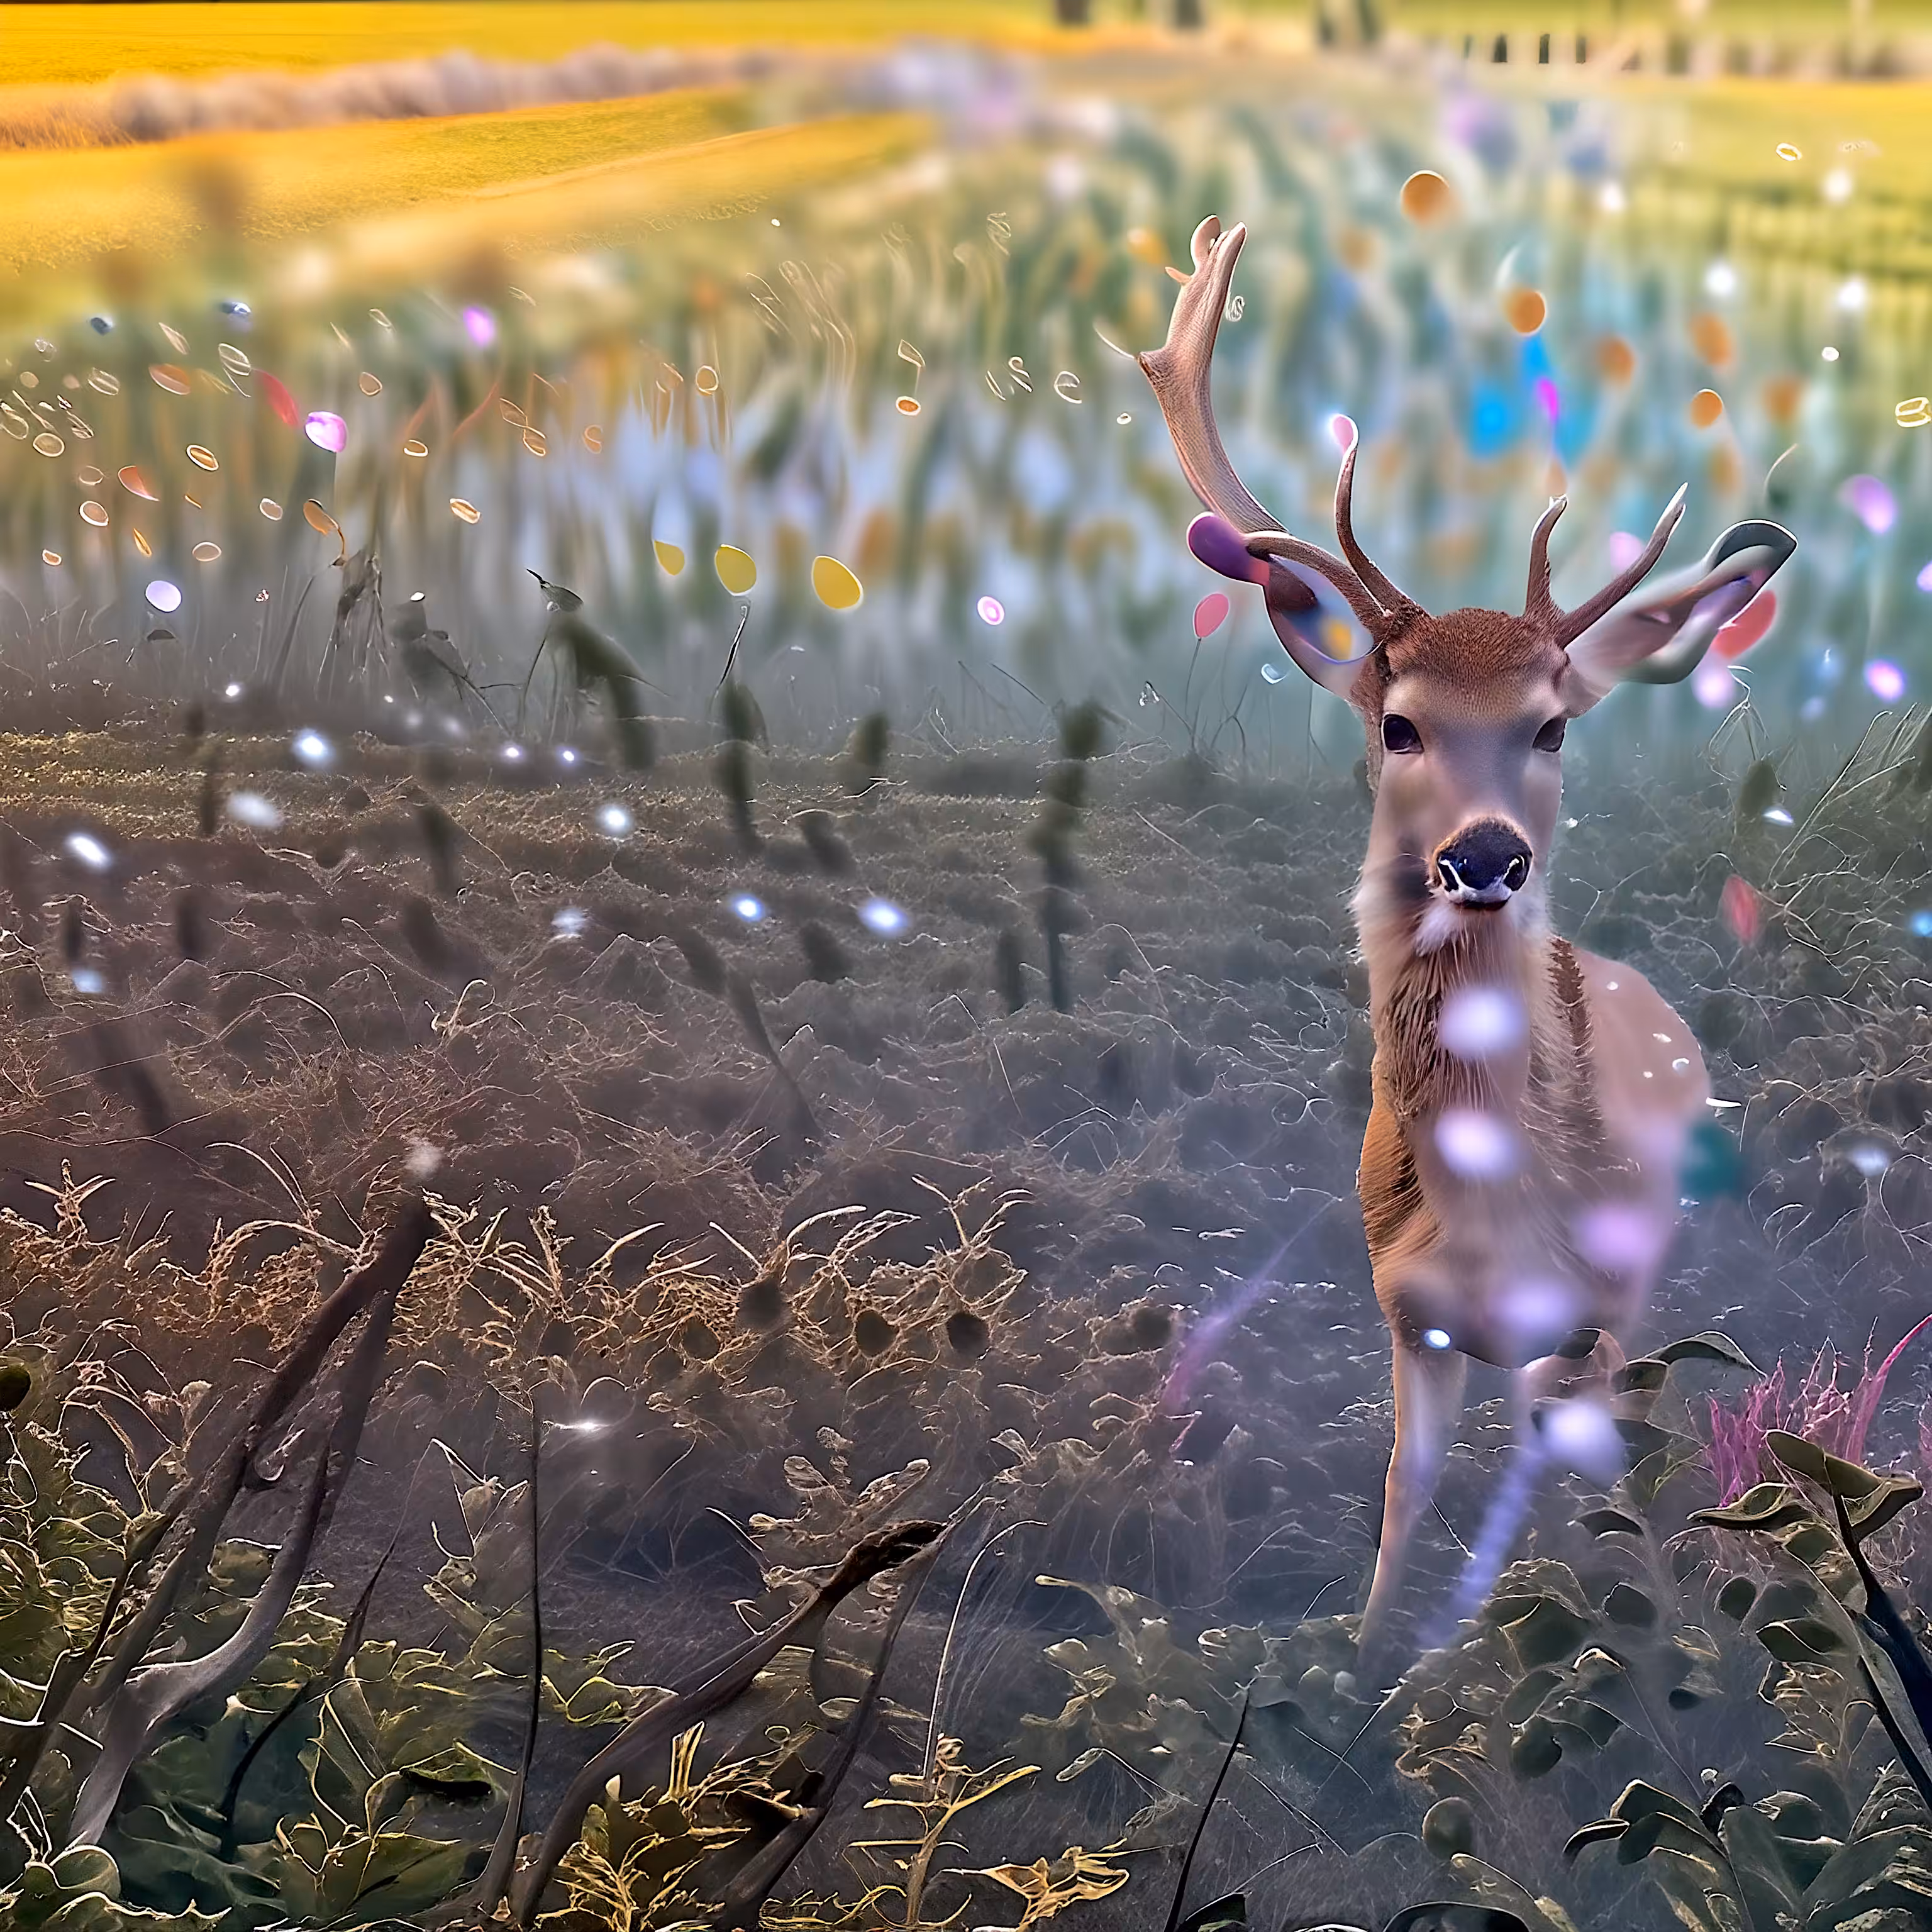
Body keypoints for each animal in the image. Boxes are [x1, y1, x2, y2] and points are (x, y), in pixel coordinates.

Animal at [1139, 216, 1795, 1682]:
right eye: (1399, 723)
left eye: (1551, 723)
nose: (1486, 857)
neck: (1504, 1233)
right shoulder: (1407, 1311)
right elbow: (1407, 1488)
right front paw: (1365, 1661)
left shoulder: (1602, 1312)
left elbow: (1564, 1488)